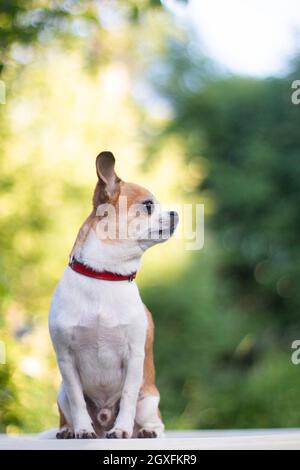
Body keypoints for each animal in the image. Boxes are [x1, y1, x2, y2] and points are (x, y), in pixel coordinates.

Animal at [49, 152, 178, 438]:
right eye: (148, 205)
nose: (176, 212)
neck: (105, 276)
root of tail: (104, 417)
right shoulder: (66, 359)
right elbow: (77, 398)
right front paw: (82, 430)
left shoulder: (134, 358)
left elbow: (128, 397)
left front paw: (121, 430)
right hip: (60, 393)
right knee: (69, 408)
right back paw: (70, 430)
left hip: (149, 400)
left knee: (154, 419)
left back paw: (145, 431)